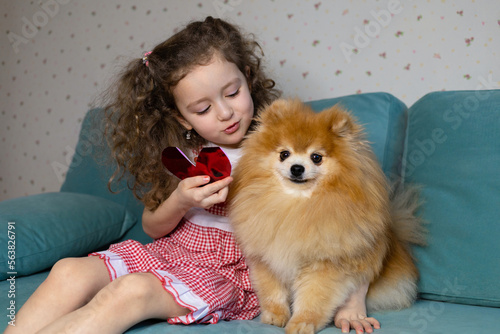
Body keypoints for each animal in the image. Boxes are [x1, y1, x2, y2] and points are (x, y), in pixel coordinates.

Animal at [229, 99, 424, 334]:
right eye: (284, 154)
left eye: (316, 157)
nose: (297, 168)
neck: (296, 204)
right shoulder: (267, 259)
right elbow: (272, 292)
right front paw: (275, 315)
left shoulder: (324, 265)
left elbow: (313, 299)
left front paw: (302, 323)